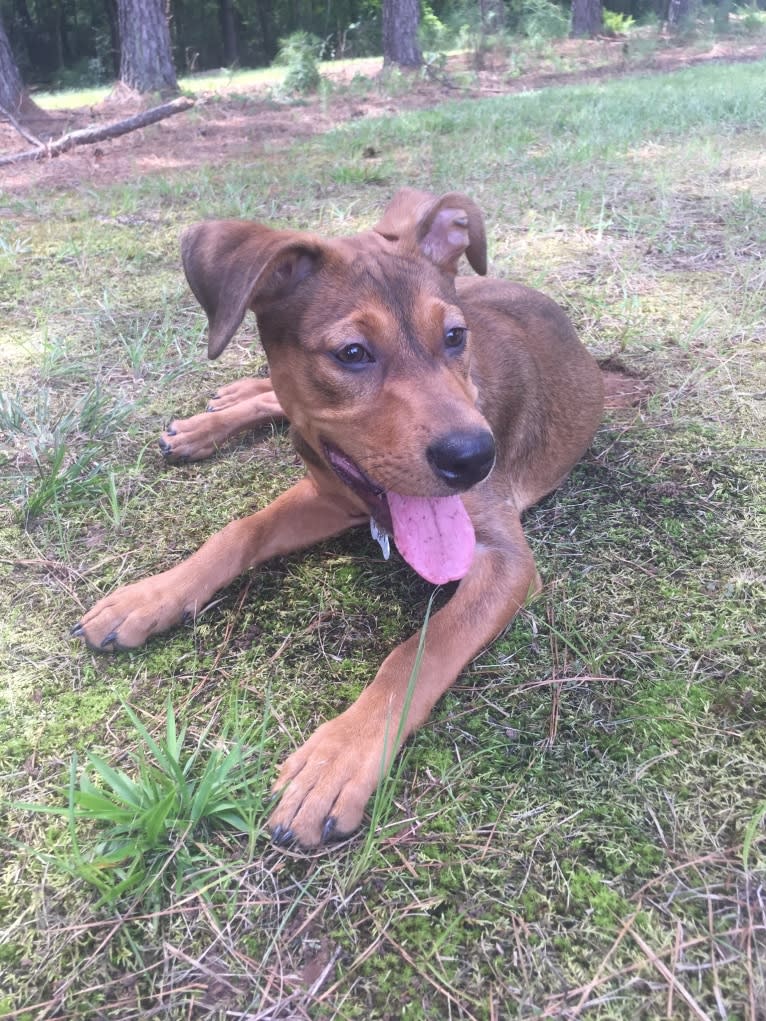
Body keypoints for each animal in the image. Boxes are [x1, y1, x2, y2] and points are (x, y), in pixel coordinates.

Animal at [75, 189, 608, 845]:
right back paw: (213, 418)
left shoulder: (505, 559)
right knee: (272, 395)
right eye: (352, 354)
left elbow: (420, 650)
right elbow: (238, 532)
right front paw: (149, 596)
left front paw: (337, 758)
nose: (475, 458)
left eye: (455, 338)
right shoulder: (328, 493)